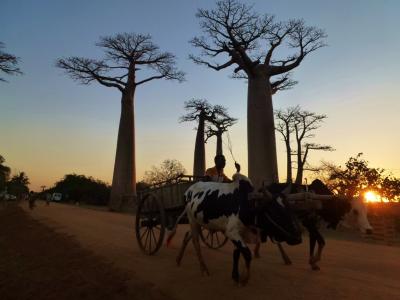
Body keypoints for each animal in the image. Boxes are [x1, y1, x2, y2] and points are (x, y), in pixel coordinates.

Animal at [167, 172, 302, 284]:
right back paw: (203, 269)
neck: (247, 203)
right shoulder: (231, 232)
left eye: (290, 209)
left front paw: (235, 276)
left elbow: (236, 254)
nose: (298, 238)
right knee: (195, 243)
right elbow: (247, 253)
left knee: (187, 236)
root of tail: (188, 189)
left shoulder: (239, 233)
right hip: (192, 220)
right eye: (275, 212)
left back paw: (179, 259)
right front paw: (244, 278)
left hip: (199, 222)